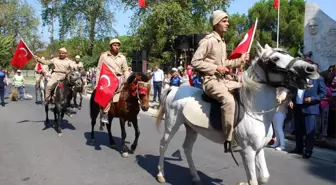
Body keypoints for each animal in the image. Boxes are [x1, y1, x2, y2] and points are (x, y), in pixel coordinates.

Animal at [154, 43, 318, 185]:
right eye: (275, 59)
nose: (310, 68)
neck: (257, 112)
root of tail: (175, 89)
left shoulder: (259, 149)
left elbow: (264, 177)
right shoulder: (248, 151)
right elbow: (253, 180)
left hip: (192, 128)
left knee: (187, 148)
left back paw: (195, 177)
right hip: (172, 125)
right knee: (163, 145)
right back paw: (161, 175)